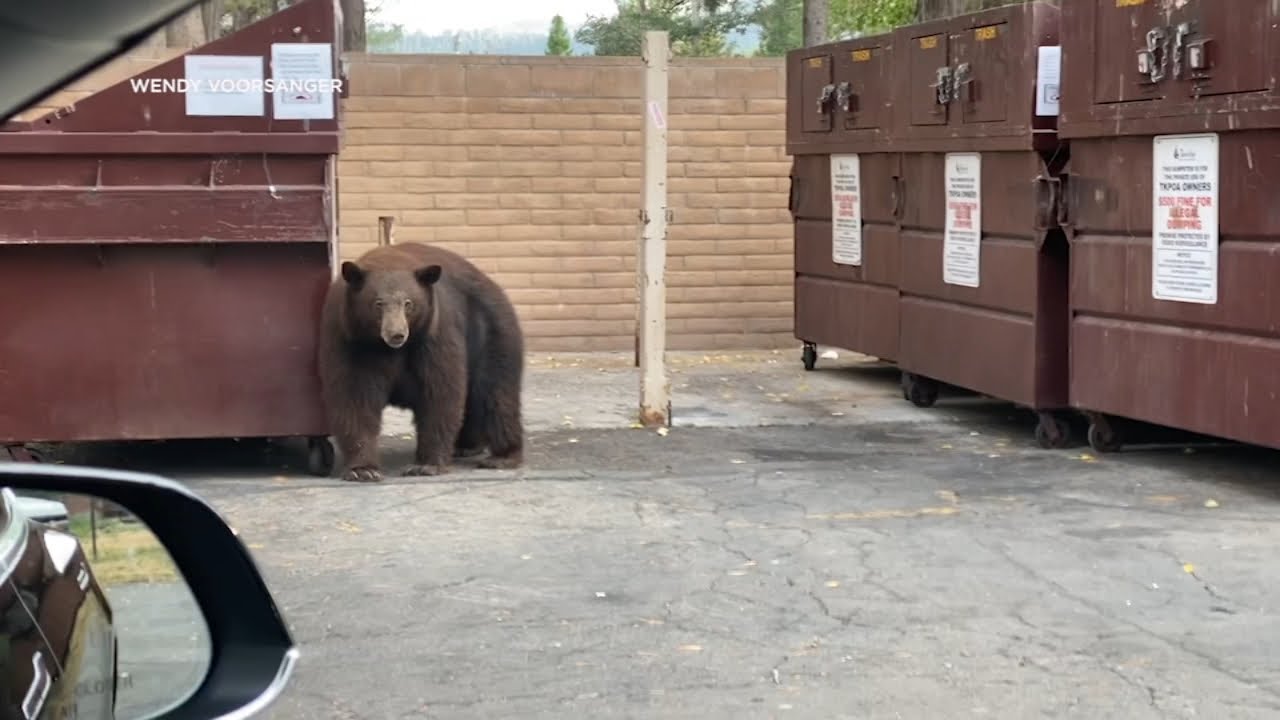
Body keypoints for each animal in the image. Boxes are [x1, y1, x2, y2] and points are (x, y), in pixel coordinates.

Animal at [317, 240, 522, 481]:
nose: (397, 334)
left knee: (496, 394)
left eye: (408, 303)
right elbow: (354, 396)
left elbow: (439, 392)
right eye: (378, 303)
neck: (386, 348)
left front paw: (426, 465)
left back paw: (502, 456)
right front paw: (363, 470)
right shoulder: (349, 340)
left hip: (489, 335)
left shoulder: (433, 335)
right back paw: (467, 446)